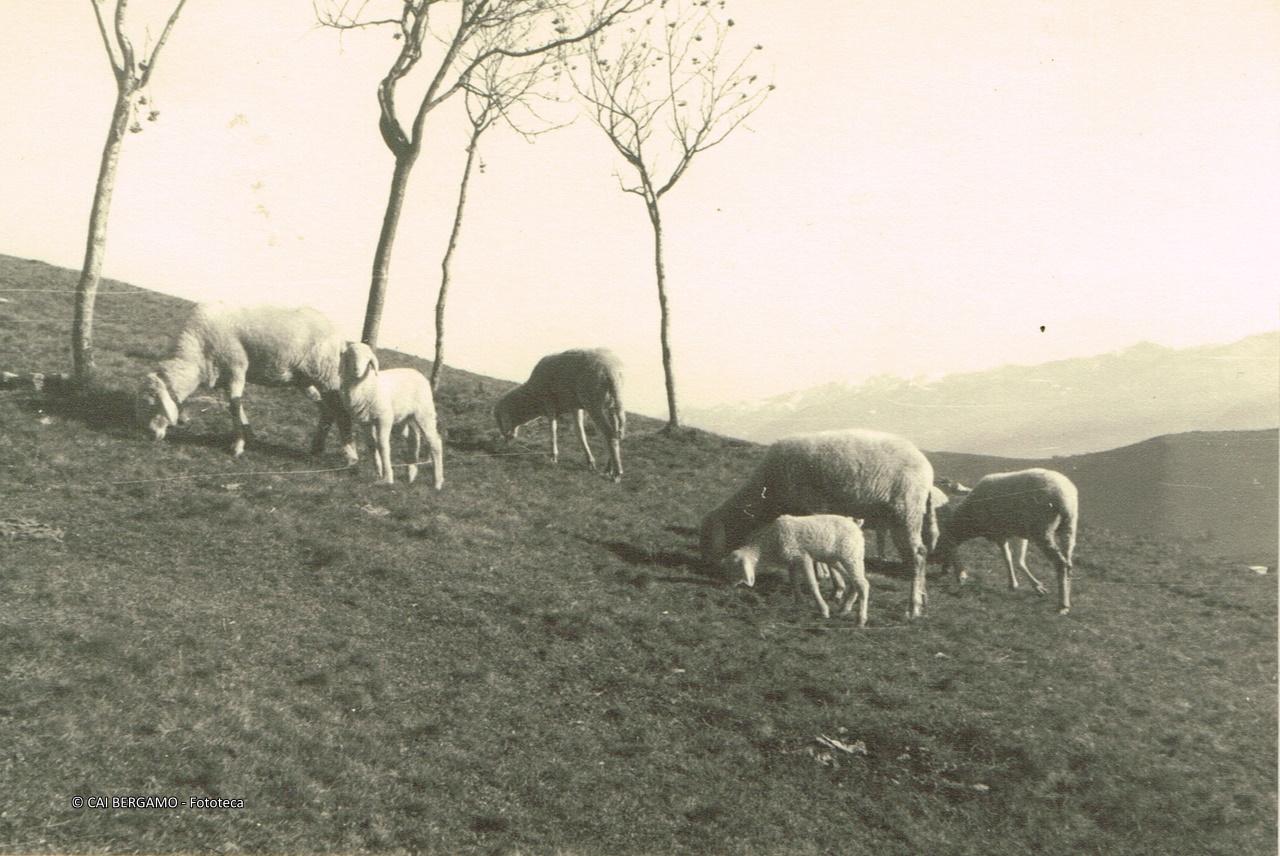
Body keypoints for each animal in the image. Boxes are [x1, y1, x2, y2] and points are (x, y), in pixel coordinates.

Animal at [135, 302, 357, 462]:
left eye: (153, 404)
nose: (149, 434)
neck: (197, 354)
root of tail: (339, 336)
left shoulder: (236, 369)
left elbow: (234, 407)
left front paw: (238, 446)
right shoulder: (226, 377)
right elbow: (236, 407)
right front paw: (248, 436)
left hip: (326, 376)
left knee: (341, 412)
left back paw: (350, 456)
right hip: (305, 380)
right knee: (327, 410)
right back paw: (317, 447)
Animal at [339, 342, 444, 489]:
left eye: (368, 358)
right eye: (351, 355)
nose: (356, 370)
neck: (366, 384)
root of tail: (417, 373)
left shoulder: (384, 418)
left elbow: (382, 445)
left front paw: (387, 478)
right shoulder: (365, 422)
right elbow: (372, 445)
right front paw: (379, 472)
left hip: (424, 413)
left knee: (435, 442)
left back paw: (437, 482)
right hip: (408, 418)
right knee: (413, 440)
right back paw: (411, 474)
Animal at [493, 348, 626, 482]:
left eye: (499, 418)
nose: (504, 443)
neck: (532, 396)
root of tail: (612, 371)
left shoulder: (548, 402)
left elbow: (553, 429)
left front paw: (553, 456)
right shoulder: (575, 407)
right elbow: (580, 433)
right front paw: (590, 462)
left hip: (594, 403)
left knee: (610, 435)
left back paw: (616, 473)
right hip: (613, 403)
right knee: (616, 433)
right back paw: (609, 468)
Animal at [727, 514, 870, 625]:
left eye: (735, 567)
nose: (730, 585)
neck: (769, 545)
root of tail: (855, 525)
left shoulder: (803, 557)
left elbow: (812, 584)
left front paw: (823, 610)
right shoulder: (792, 560)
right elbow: (793, 582)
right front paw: (799, 603)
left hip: (851, 554)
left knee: (862, 583)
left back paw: (860, 619)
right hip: (834, 559)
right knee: (854, 581)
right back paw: (845, 609)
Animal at [934, 468, 1079, 614]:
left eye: (944, 548)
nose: (943, 570)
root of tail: (1064, 497)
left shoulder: (999, 534)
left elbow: (1007, 558)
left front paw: (1012, 584)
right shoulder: (1019, 534)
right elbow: (1020, 561)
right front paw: (1037, 587)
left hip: (1043, 531)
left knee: (1061, 564)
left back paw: (1062, 605)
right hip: (1069, 527)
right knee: (1068, 563)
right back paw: (1067, 596)